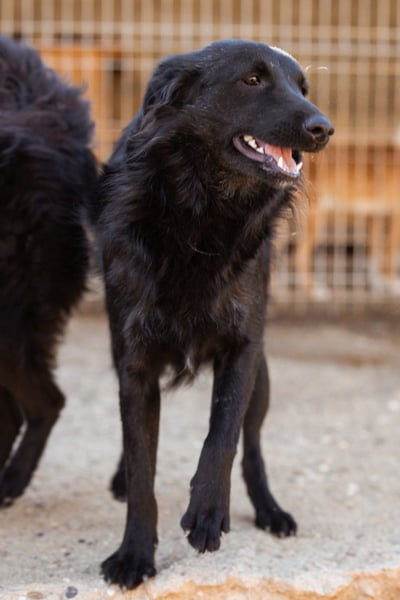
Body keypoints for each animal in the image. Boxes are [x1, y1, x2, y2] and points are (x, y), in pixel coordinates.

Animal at [89, 39, 333, 589]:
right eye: (252, 80)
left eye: (302, 87)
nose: (324, 128)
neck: (200, 213)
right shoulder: (134, 363)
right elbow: (142, 464)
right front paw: (134, 553)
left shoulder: (243, 348)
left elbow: (222, 435)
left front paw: (206, 511)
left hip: (263, 377)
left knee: (252, 446)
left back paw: (269, 510)